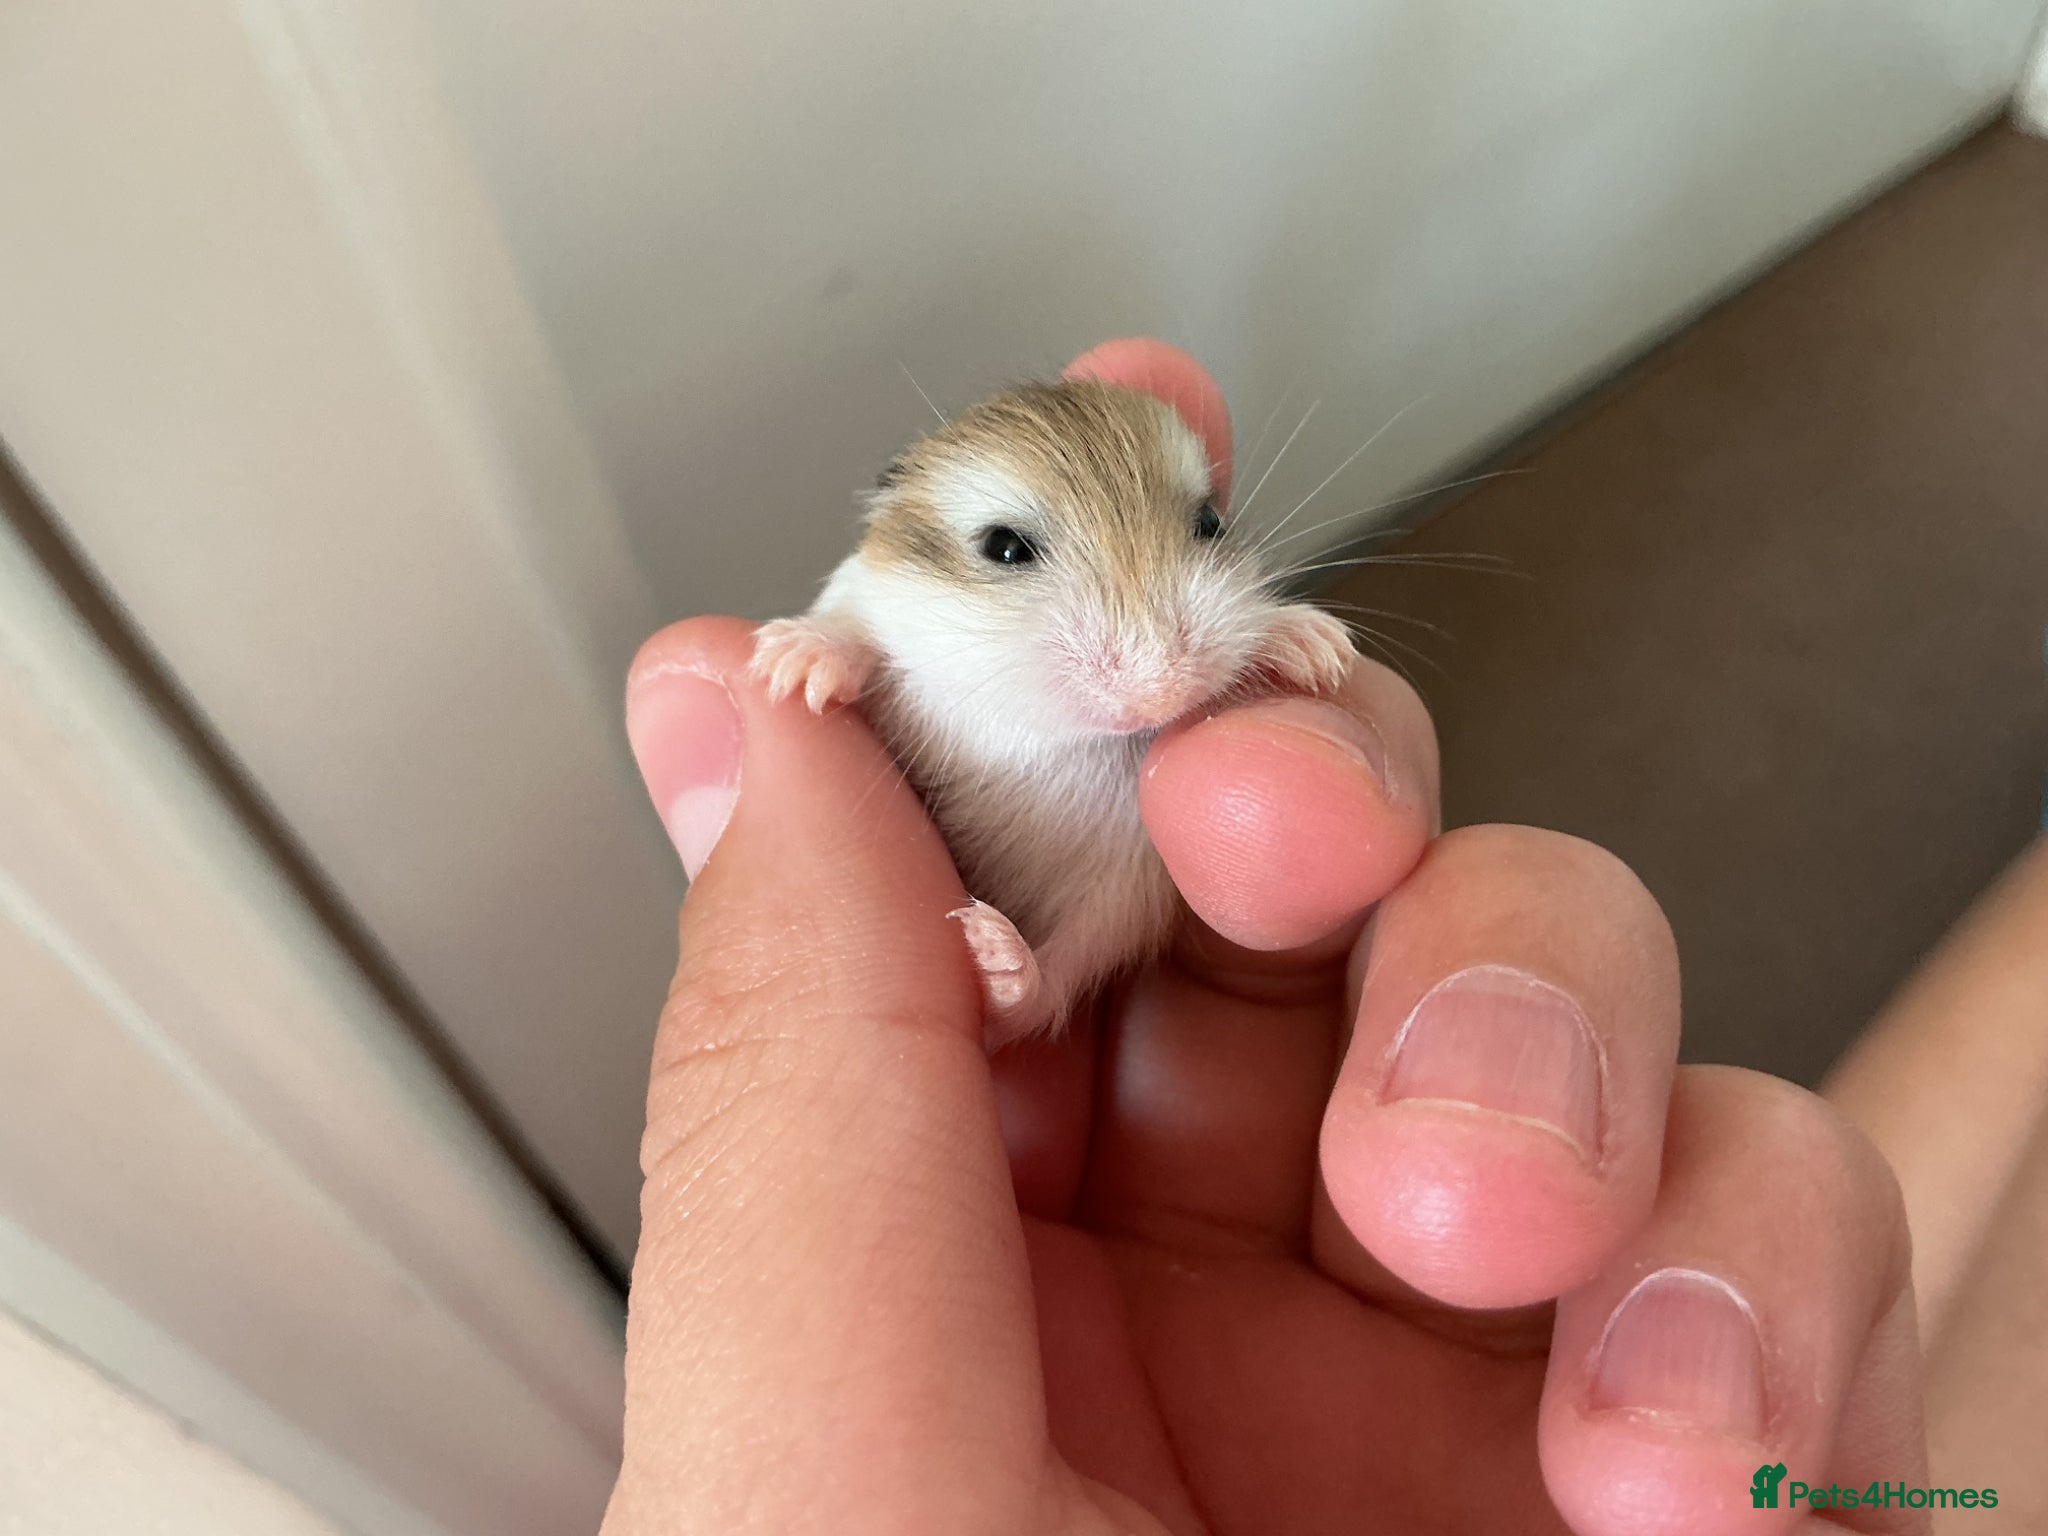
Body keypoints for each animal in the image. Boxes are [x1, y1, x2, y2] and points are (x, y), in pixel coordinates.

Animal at [749, 378, 1355, 1047]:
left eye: (1210, 522)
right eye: (1004, 547)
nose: (1159, 692)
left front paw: (1320, 648)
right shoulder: (860, 593)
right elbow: (849, 631)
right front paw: (788, 666)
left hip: (1118, 904)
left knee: (1043, 995)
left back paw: (995, 954)